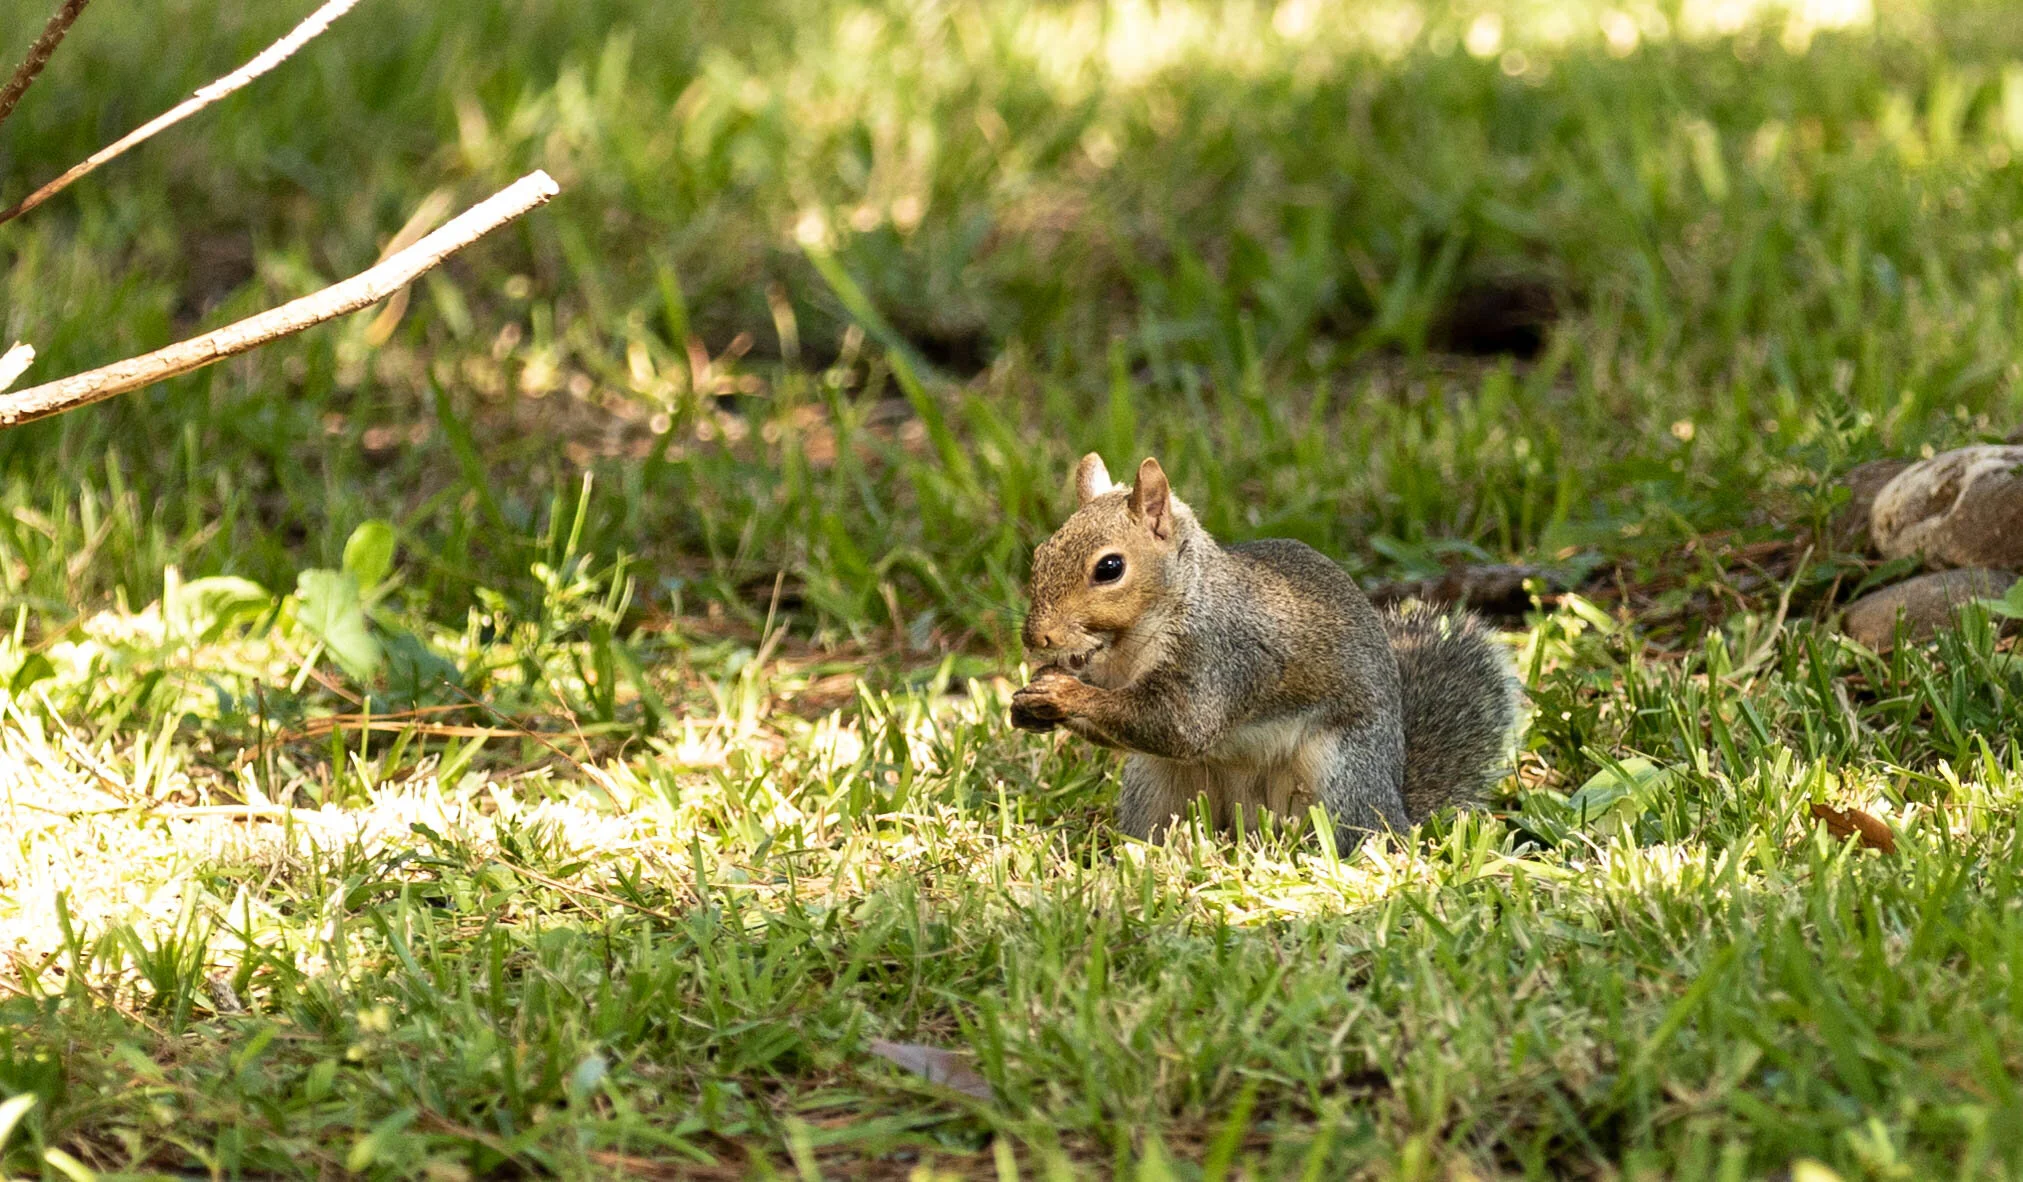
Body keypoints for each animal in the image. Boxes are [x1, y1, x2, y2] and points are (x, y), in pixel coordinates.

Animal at [1010, 453, 1519, 848]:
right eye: (1040, 554)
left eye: (1110, 568)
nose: (1037, 638)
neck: (1132, 642)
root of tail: (1395, 809)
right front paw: (1029, 701)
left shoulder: (1221, 659)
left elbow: (1180, 727)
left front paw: (1062, 694)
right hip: (1156, 785)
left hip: (1339, 773)